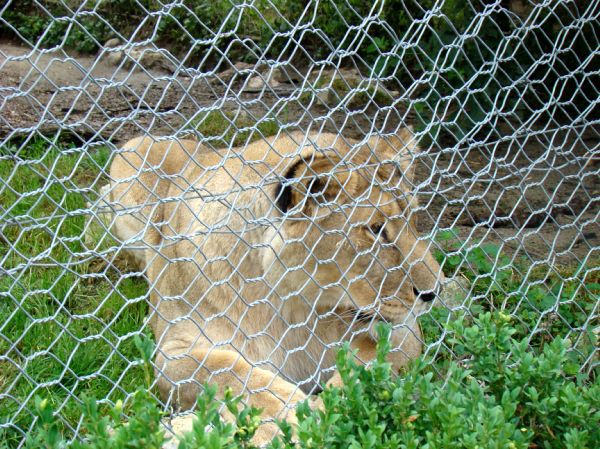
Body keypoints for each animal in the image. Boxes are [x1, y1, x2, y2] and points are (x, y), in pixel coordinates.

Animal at [106, 127, 446, 440]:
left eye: (414, 218)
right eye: (375, 230)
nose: (434, 292)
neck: (289, 304)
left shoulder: (404, 332)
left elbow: (364, 364)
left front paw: (332, 404)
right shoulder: (173, 353)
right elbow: (226, 371)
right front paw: (292, 415)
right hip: (132, 155)